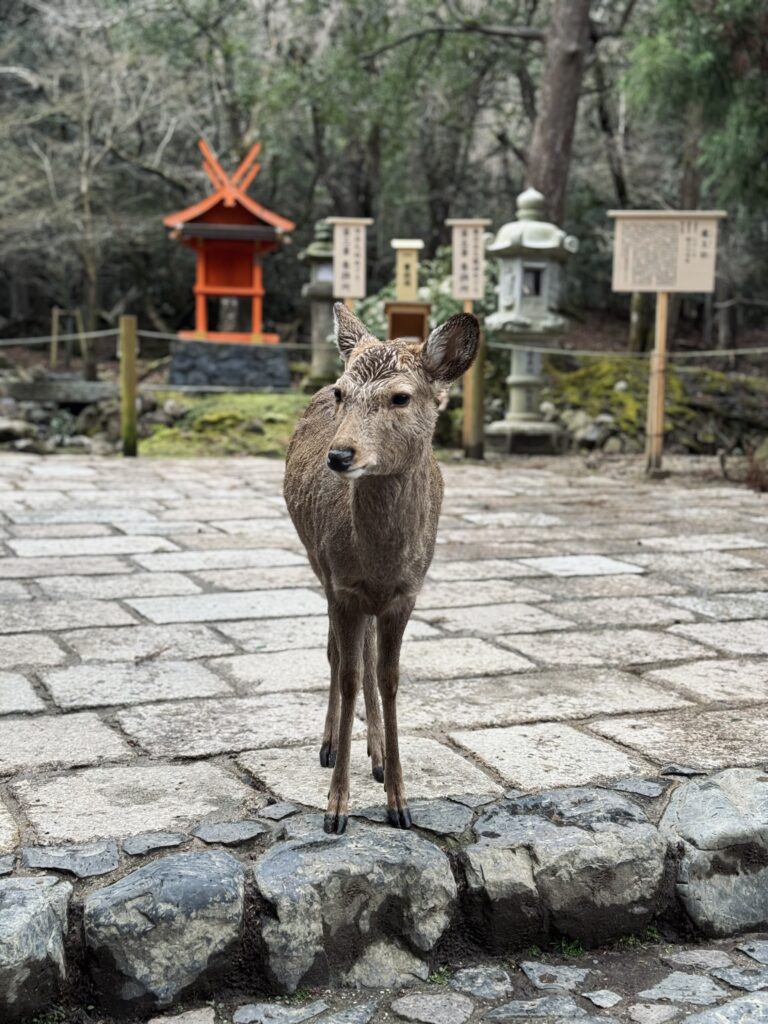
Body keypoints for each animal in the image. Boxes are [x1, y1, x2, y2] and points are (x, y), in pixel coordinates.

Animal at [282, 301, 479, 831]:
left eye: (400, 397)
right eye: (341, 392)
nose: (339, 454)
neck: (379, 559)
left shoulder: (406, 593)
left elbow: (389, 680)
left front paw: (399, 801)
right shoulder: (343, 586)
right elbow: (348, 672)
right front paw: (335, 809)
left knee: (367, 657)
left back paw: (375, 755)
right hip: (315, 561)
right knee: (336, 654)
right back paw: (331, 745)